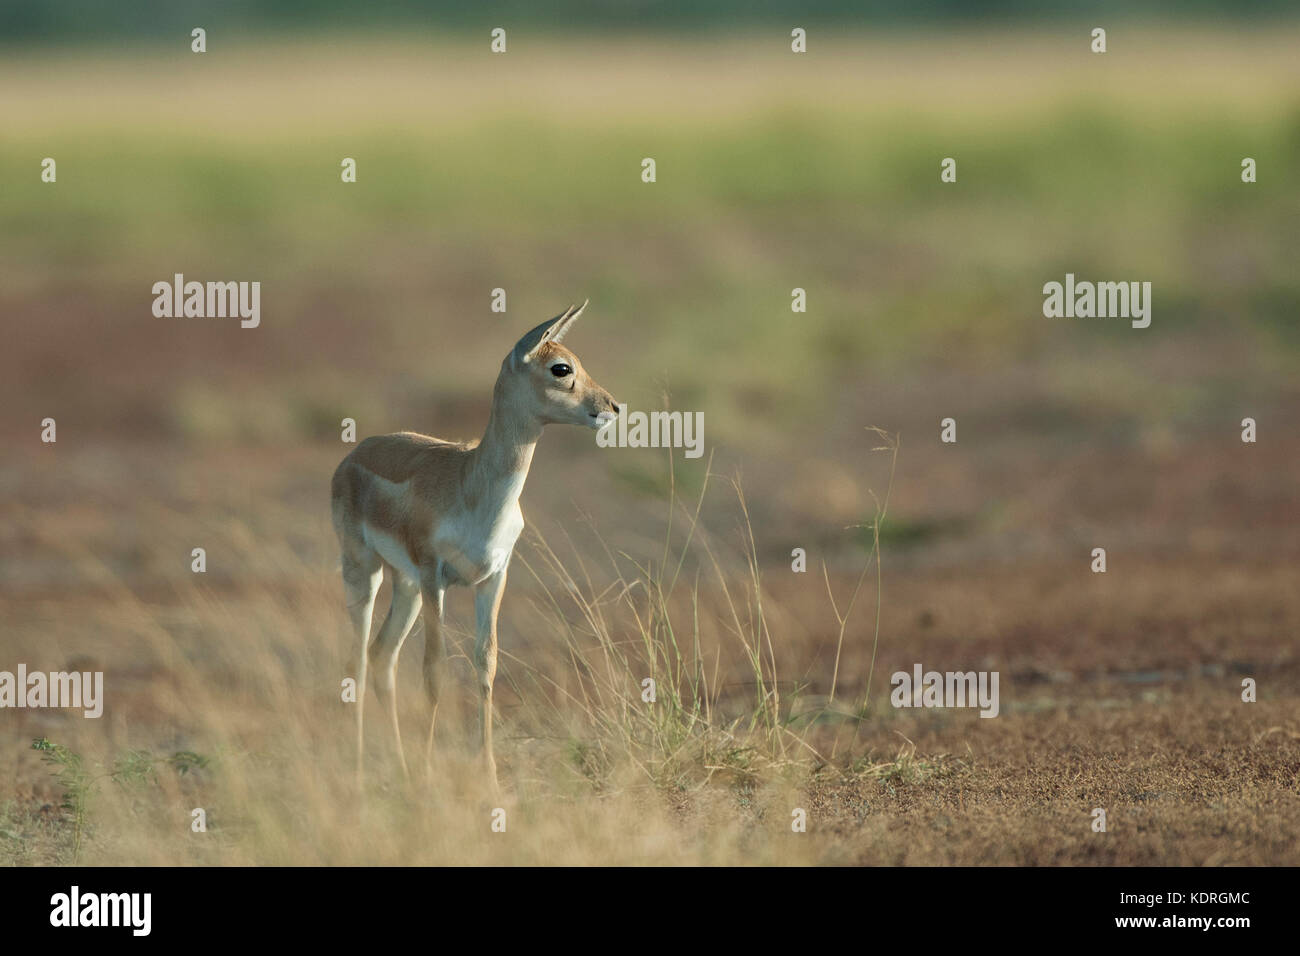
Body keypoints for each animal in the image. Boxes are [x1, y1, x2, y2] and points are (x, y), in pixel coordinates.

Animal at [332, 303, 621, 790]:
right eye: (561, 368)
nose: (612, 407)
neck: (473, 486)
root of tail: (353, 455)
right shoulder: (436, 578)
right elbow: (434, 669)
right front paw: (432, 771)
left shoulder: (493, 578)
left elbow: (486, 666)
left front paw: (488, 775)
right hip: (365, 572)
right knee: (356, 661)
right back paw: (356, 769)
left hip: (405, 584)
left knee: (382, 655)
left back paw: (400, 765)